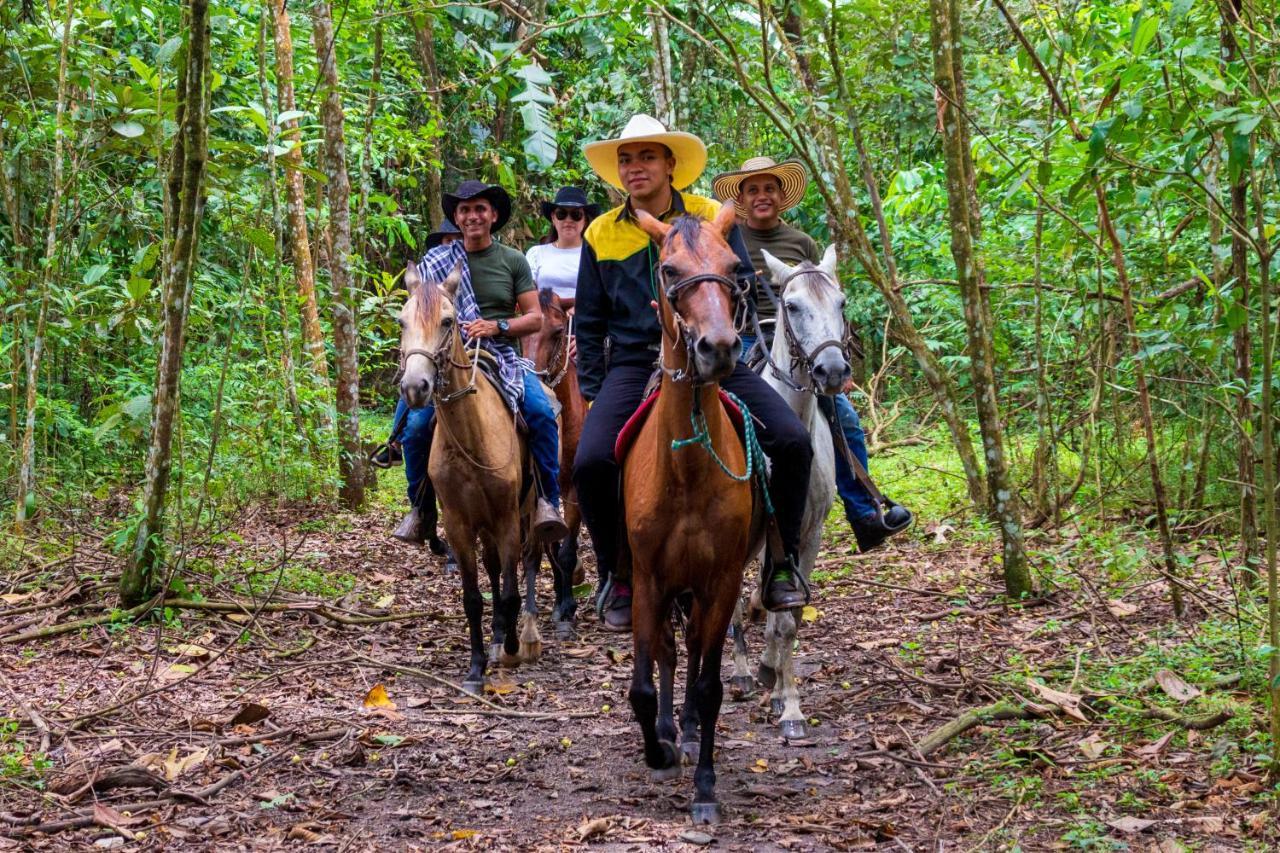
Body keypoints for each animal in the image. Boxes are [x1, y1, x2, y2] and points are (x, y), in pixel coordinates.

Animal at [399, 258, 540, 691]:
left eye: (448, 321)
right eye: (401, 322)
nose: (415, 387)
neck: (471, 435)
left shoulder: (508, 517)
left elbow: (510, 591)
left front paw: (510, 648)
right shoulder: (460, 523)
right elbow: (474, 597)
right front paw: (477, 666)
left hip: (528, 509)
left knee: (529, 561)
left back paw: (521, 635)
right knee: (493, 569)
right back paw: (496, 636)